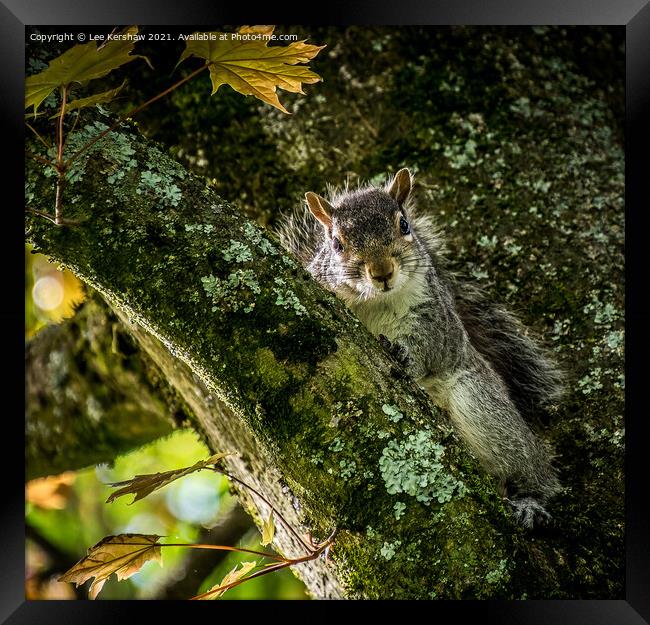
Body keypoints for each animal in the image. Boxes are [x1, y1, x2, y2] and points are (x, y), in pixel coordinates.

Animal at [276, 167, 564, 528]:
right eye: (336, 243)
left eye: (404, 225)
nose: (382, 272)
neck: (375, 301)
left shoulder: (437, 318)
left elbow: (432, 347)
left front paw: (404, 355)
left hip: (483, 406)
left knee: (532, 469)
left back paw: (530, 499)